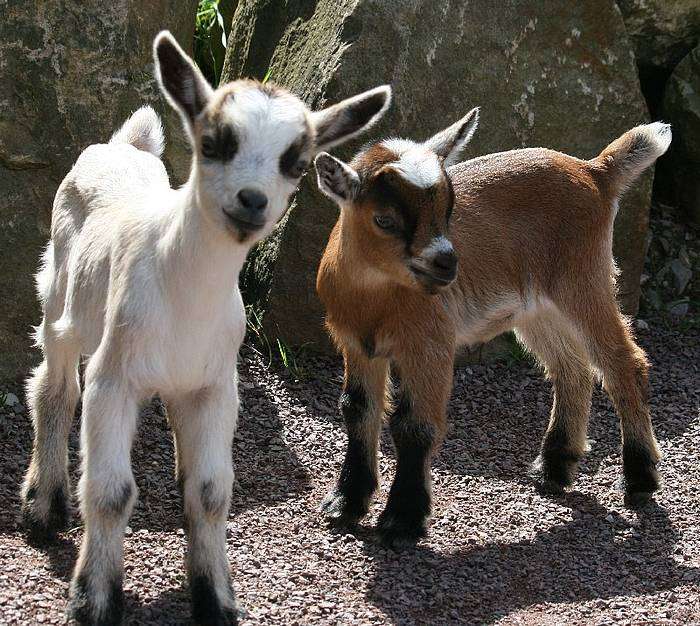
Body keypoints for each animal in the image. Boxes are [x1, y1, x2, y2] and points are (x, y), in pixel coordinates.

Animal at [20, 30, 394, 624]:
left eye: (296, 162)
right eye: (214, 142)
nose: (252, 201)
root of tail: (124, 146)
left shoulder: (218, 385)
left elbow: (212, 492)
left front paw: (214, 597)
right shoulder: (113, 378)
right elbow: (109, 492)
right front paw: (93, 600)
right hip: (60, 297)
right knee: (53, 388)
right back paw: (42, 507)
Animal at [314, 109, 668, 544]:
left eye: (448, 208)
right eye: (384, 220)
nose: (447, 262)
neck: (374, 300)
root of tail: (595, 171)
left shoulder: (429, 343)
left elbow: (413, 425)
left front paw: (402, 520)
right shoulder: (356, 344)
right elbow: (357, 409)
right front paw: (345, 503)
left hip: (584, 279)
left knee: (623, 364)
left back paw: (639, 480)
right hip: (537, 308)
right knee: (573, 369)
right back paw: (555, 467)